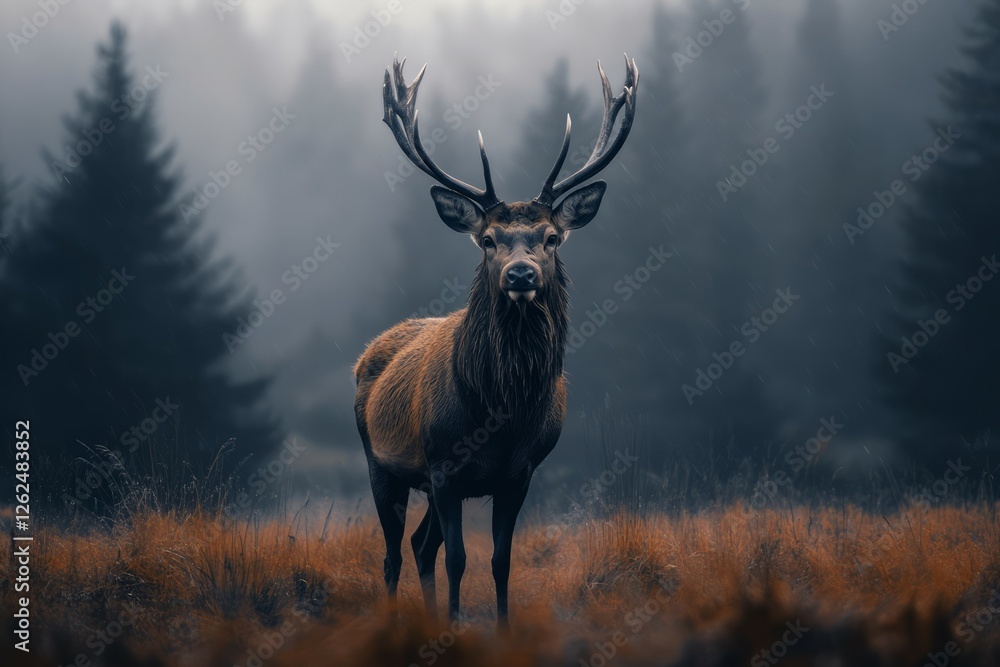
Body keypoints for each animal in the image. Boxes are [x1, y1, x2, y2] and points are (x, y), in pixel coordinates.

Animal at [354, 54, 638, 625]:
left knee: (419, 546)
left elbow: (501, 561)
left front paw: (499, 628)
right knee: (395, 554)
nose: (521, 274)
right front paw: (454, 628)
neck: (499, 414)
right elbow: (459, 560)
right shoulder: (444, 467)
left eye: (551, 238)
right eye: (488, 240)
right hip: (380, 463)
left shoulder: (519, 474)